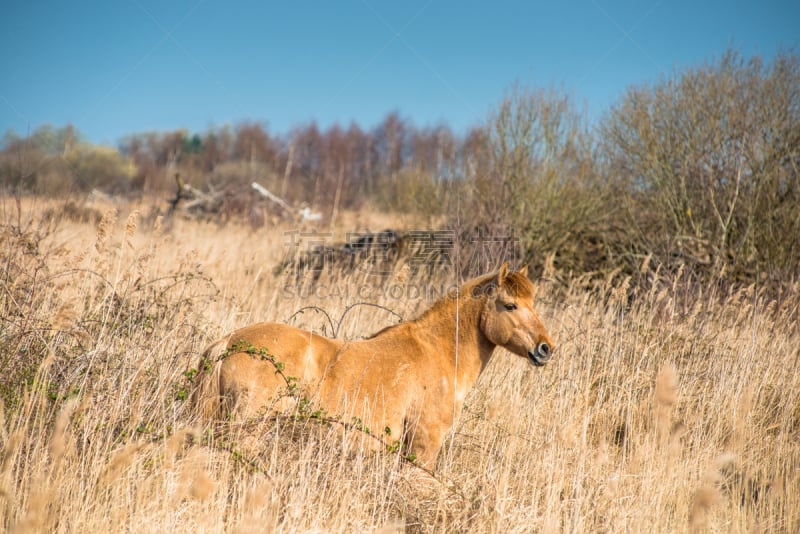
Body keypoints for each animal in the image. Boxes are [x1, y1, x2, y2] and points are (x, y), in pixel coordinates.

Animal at [194, 264, 556, 468]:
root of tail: (228, 343)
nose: (545, 348)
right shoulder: (423, 446)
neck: (437, 351)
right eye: (510, 305)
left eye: (533, 303)